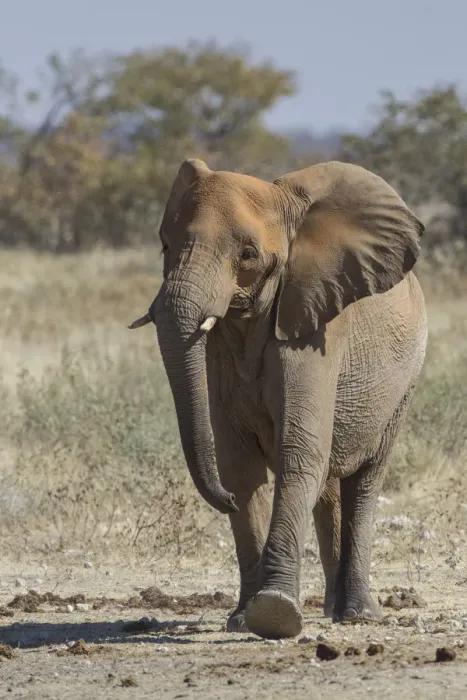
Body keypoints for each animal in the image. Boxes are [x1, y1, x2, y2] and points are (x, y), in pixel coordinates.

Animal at [129, 158, 427, 639]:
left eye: (248, 255)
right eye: (164, 246)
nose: (223, 502)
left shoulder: (317, 329)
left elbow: (298, 450)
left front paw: (275, 614)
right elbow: (239, 466)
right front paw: (241, 619)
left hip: (403, 387)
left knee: (364, 479)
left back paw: (358, 614)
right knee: (329, 482)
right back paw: (333, 610)